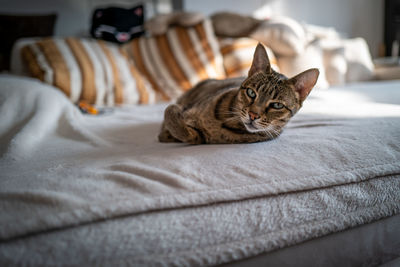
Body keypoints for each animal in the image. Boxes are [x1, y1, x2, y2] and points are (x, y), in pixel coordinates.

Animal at [159, 43, 318, 146]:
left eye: (277, 105)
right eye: (251, 93)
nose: (253, 115)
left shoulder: (198, 137)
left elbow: (183, 132)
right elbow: (175, 123)